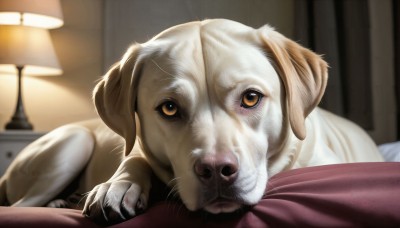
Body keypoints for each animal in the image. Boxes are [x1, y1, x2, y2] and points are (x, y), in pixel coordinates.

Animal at [0, 18, 382, 224]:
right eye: (169, 108)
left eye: (251, 98)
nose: (216, 171)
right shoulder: (137, 148)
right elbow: (135, 157)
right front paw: (118, 186)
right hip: (72, 145)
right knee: (19, 206)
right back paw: (61, 201)